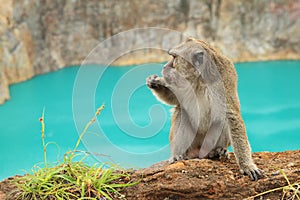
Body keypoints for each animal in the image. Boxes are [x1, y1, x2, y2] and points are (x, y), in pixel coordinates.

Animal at [147, 36, 262, 180]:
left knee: (221, 120)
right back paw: (179, 155)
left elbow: (232, 116)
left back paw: (217, 151)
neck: (200, 78)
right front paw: (155, 82)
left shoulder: (223, 83)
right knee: (182, 113)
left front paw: (247, 165)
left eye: (174, 57)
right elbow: (175, 99)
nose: (165, 66)